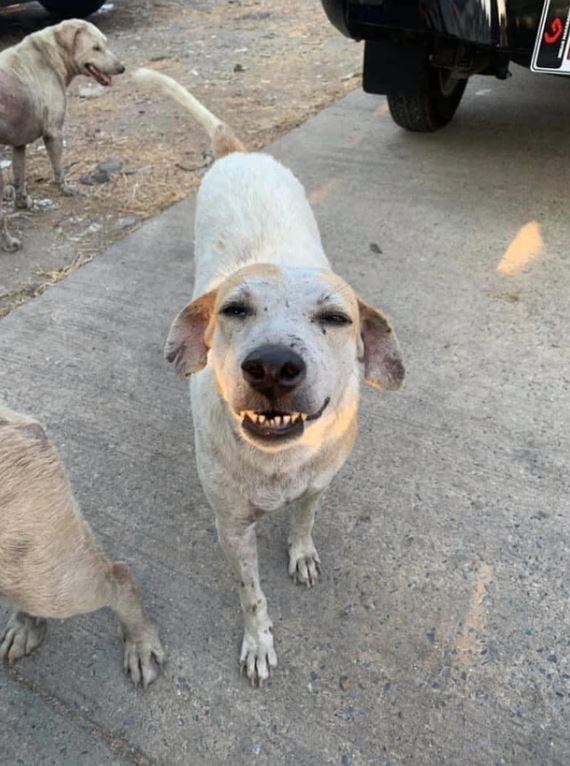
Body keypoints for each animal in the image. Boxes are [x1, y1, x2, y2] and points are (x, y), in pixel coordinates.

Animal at [136, 67, 404, 688]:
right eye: (234, 310)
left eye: (336, 318)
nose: (273, 366)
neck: (279, 463)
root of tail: (240, 152)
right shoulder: (232, 529)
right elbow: (251, 594)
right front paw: (258, 642)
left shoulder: (320, 482)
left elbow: (305, 518)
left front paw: (301, 551)